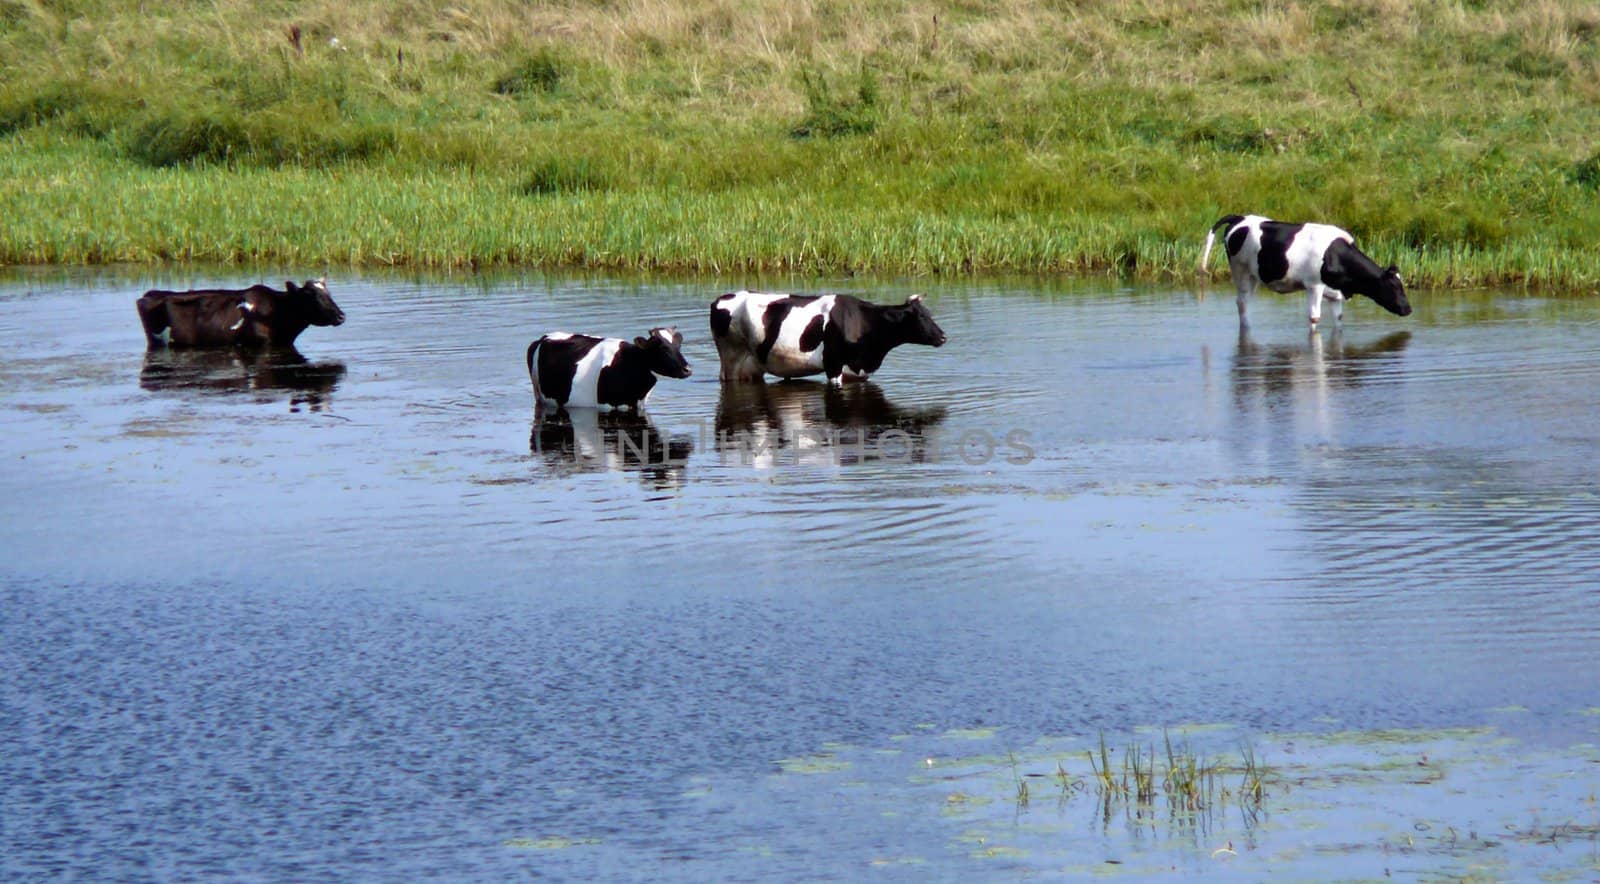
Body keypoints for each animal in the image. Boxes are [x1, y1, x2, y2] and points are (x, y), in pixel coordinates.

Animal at [707, 291, 940, 384]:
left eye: (929, 313)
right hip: (731, 359)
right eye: (921, 317)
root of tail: (722, 298)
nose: (943, 336)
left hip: (751, 367)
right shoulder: (833, 364)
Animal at [1203, 216, 1414, 329]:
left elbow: (1338, 318)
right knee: (1242, 303)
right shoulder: (1314, 286)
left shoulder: (1335, 294)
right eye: (1393, 287)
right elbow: (1314, 318)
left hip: (1254, 275)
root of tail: (1240, 217)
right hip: (1241, 271)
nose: (1408, 309)